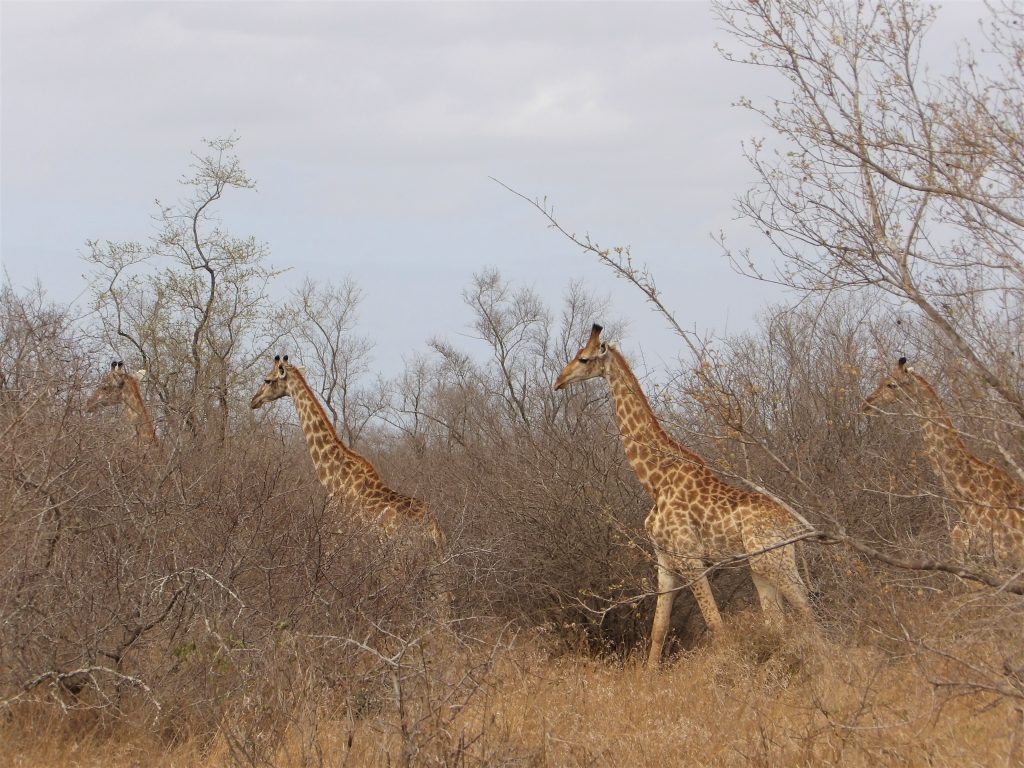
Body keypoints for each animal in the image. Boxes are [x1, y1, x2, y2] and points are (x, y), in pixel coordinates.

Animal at [557, 325, 811, 667]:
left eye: (583, 358)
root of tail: (796, 525)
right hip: (762, 566)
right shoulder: (664, 560)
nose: (558, 381)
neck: (655, 481)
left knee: (807, 610)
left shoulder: (691, 558)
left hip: (775, 561)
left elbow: (716, 625)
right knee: (778, 621)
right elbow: (659, 629)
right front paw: (649, 675)